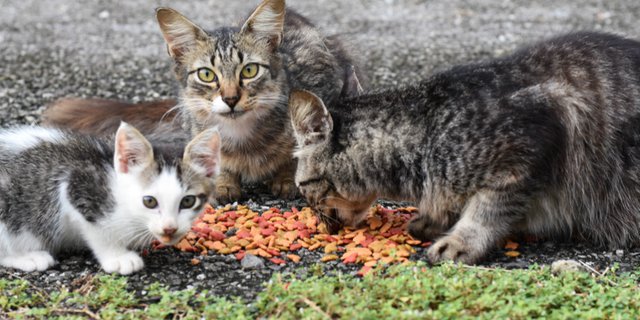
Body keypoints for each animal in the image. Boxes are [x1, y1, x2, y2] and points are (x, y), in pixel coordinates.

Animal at [0, 121, 220, 274]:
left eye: (188, 201)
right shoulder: (75, 185)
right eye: (149, 201)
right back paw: (29, 257)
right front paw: (118, 256)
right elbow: (98, 232)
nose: (169, 228)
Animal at [292, 31, 640, 264]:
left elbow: (487, 209)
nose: (318, 221)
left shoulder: (535, 141)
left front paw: (461, 241)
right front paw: (433, 220)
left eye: (302, 186)